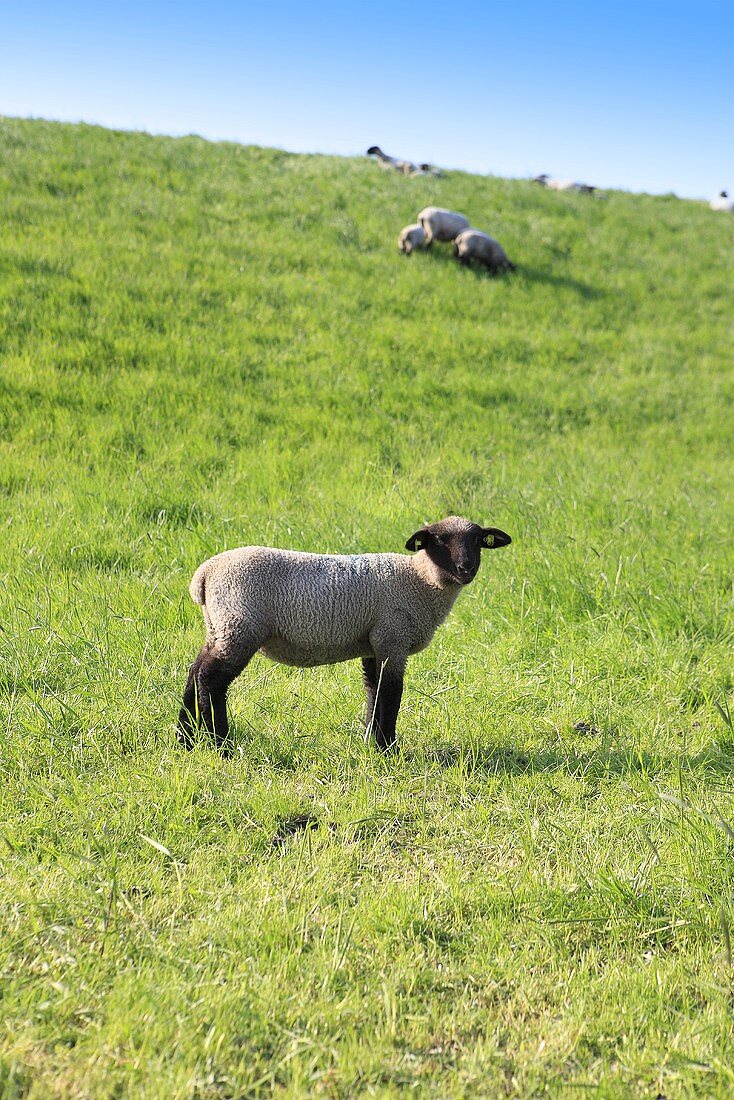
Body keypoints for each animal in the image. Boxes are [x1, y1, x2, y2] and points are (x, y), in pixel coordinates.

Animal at [177, 512, 510, 752]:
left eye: (478, 540)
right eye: (439, 540)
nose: (467, 568)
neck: (419, 580)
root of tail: (204, 575)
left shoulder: (374, 643)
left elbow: (374, 691)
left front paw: (372, 743)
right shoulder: (393, 636)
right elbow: (391, 693)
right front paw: (389, 748)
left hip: (218, 627)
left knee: (194, 672)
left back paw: (185, 739)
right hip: (239, 625)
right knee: (211, 680)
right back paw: (221, 743)